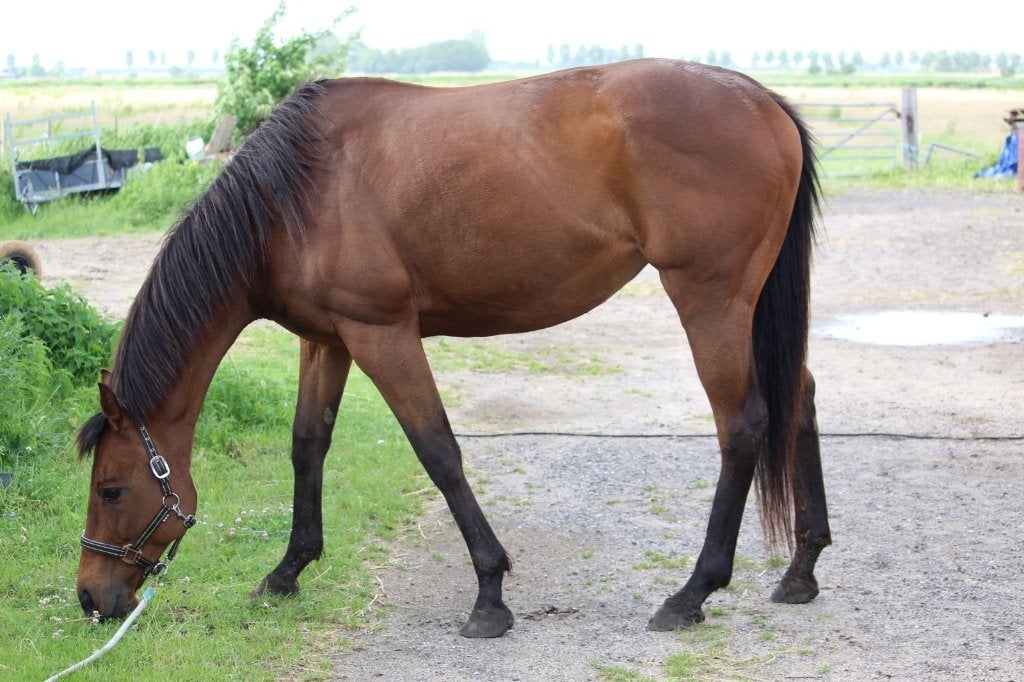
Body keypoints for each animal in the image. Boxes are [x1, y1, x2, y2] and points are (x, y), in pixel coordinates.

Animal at [74, 58, 830, 638]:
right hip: (747, 308)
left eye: (111, 489)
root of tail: (761, 99)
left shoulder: (382, 333)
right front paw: (287, 572)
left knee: (742, 426)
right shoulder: (328, 341)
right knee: (800, 397)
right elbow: (307, 445)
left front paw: (490, 594)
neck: (293, 196)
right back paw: (801, 570)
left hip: (710, 301)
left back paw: (693, 592)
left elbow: (437, 450)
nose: (90, 596)